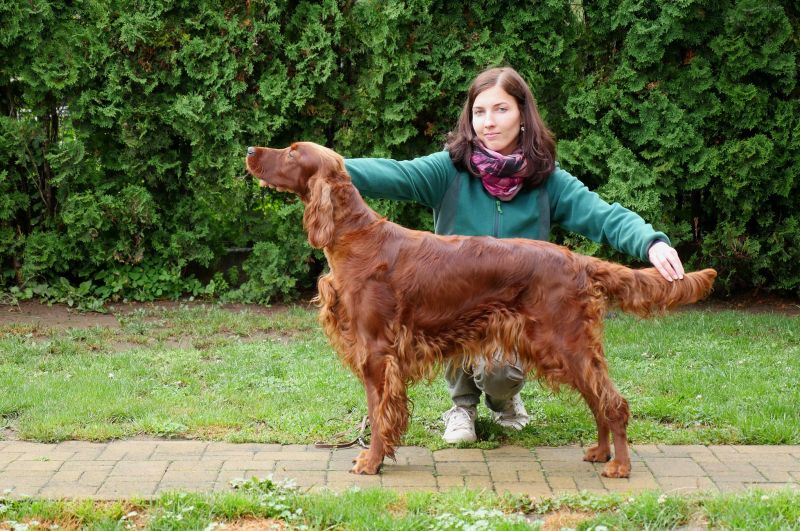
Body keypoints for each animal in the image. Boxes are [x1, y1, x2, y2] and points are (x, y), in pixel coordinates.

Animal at [245, 141, 720, 478]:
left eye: (292, 152)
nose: (250, 150)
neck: (356, 237)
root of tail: (579, 261)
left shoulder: (378, 352)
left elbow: (379, 415)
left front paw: (371, 462)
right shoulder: (373, 355)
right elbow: (378, 410)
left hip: (566, 343)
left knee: (613, 402)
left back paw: (619, 465)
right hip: (566, 350)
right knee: (598, 400)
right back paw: (601, 452)